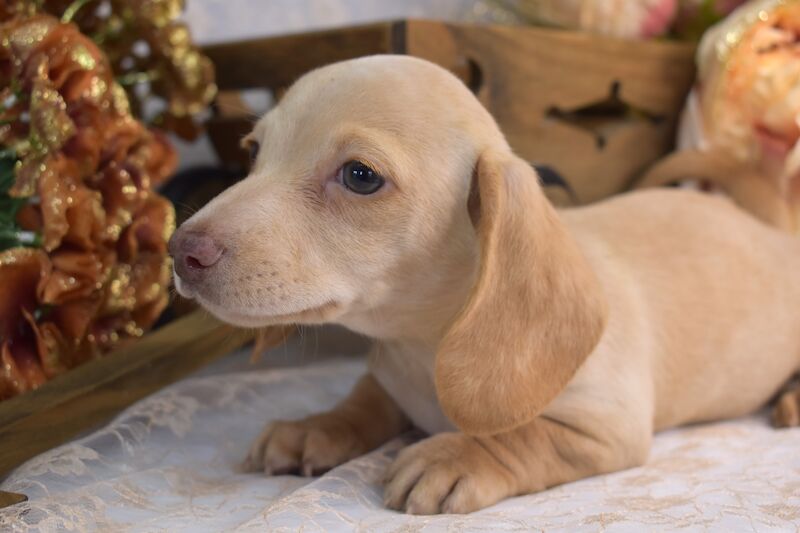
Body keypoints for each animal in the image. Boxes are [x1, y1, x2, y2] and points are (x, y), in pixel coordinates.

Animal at [169, 56, 800, 512]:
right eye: (254, 151)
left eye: (360, 176)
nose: (180, 250)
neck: (424, 344)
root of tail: (767, 219)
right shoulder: (389, 377)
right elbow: (367, 399)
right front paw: (319, 426)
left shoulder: (605, 428)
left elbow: (525, 436)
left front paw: (461, 455)